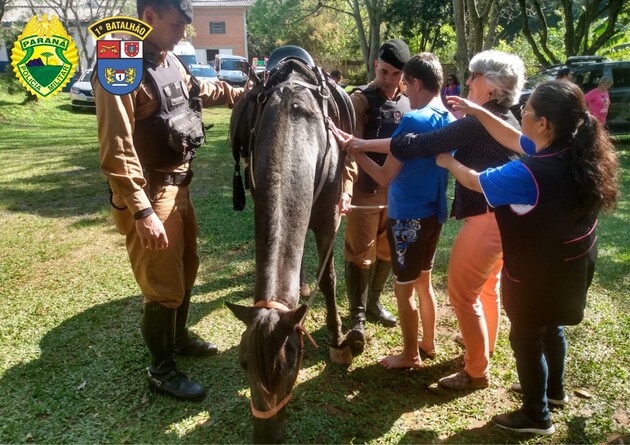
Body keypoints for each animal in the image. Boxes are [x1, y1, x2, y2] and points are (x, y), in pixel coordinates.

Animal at [227, 53, 356, 442]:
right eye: (243, 364)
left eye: (288, 368)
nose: (265, 437)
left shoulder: (329, 217)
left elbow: (328, 279)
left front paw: (338, 340)